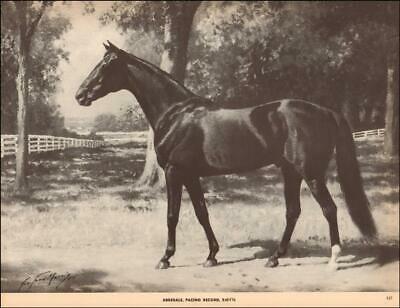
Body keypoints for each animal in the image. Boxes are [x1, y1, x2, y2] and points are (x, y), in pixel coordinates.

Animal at [76, 40, 378, 270]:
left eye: (107, 64)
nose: (80, 95)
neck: (176, 114)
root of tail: (326, 111)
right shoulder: (191, 175)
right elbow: (202, 213)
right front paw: (211, 255)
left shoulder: (174, 172)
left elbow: (172, 215)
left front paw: (165, 258)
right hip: (290, 171)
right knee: (293, 212)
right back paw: (274, 258)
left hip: (311, 173)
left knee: (329, 209)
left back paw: (334, 259)